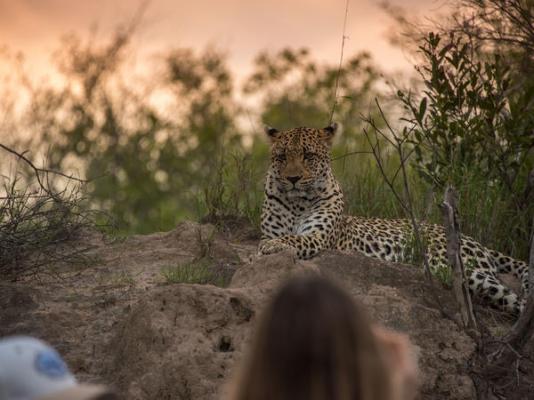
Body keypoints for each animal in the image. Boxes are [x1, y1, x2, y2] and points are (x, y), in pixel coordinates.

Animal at [260, 123, 532, 314]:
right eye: (281, 157)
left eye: (308, 156)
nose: (293, 179)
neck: (297, 202)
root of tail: (474, 239)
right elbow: (282, 237)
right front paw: (270, 244)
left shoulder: (319, 236)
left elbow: (295, 239)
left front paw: (271, 246)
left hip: (456, 266)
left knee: (516, 299)